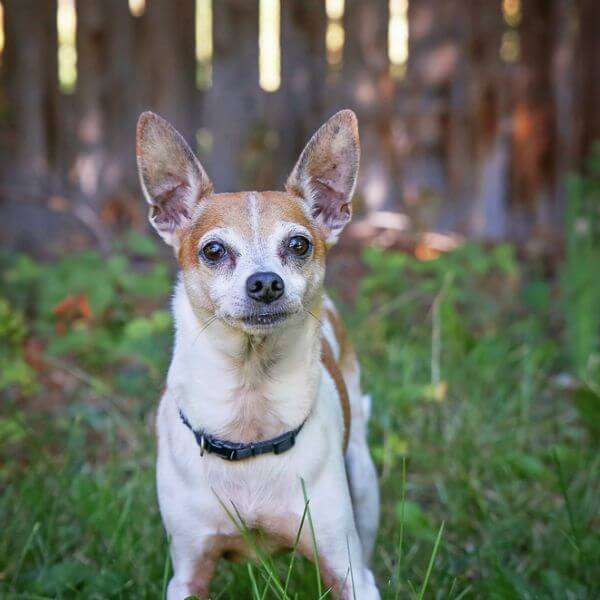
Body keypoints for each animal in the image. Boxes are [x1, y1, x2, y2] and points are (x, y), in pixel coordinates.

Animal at [137, 110, 380, 596]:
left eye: (299, 244)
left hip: (363, 481)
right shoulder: (188, 571)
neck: (250, 414)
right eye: (213, 250)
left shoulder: (349, 573)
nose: (266, 282)